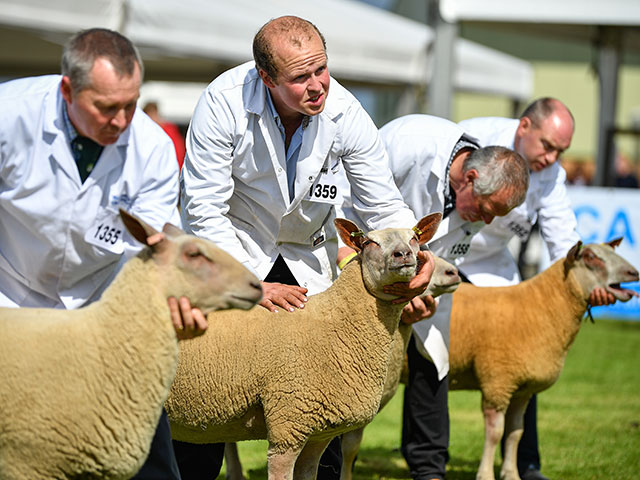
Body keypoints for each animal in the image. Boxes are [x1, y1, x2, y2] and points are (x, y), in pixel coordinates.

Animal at [165, 214, 442, 480]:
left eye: (414, 239)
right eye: (368, 242)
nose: (403, 254)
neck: (336, 325)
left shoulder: (319, 432)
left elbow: (309, 473)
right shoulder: (288, 422)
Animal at [450, 239, 640, 480]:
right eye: (590, 257)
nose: (633, 273)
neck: (544, 306)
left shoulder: (521, 389)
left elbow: (515, 433)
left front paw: (511, 474)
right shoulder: (497, 382)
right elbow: (495, 433)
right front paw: (485, 475)